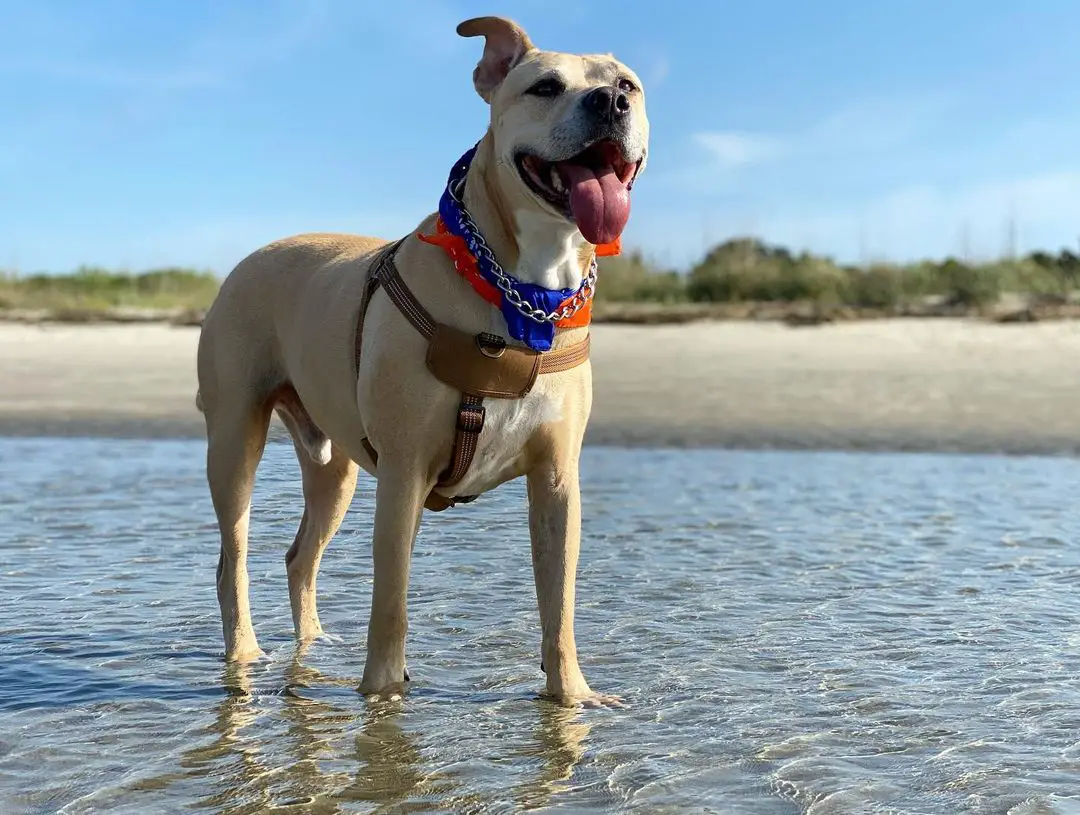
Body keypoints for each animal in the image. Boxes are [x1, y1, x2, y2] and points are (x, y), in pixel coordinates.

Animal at [195, 14, 648, 708]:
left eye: (627, 85)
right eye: (544, 87)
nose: (609, 103)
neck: (521, 290)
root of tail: (254, 254)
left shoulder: (556, 482)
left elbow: (559, 606)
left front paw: (572, 699)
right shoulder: (405, 472)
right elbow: (391, 606)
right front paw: (382, 709)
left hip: (335, 471)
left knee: (301, 555)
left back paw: (313, 650)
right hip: (234, 440)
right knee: (233, 557)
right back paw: (246, 657)